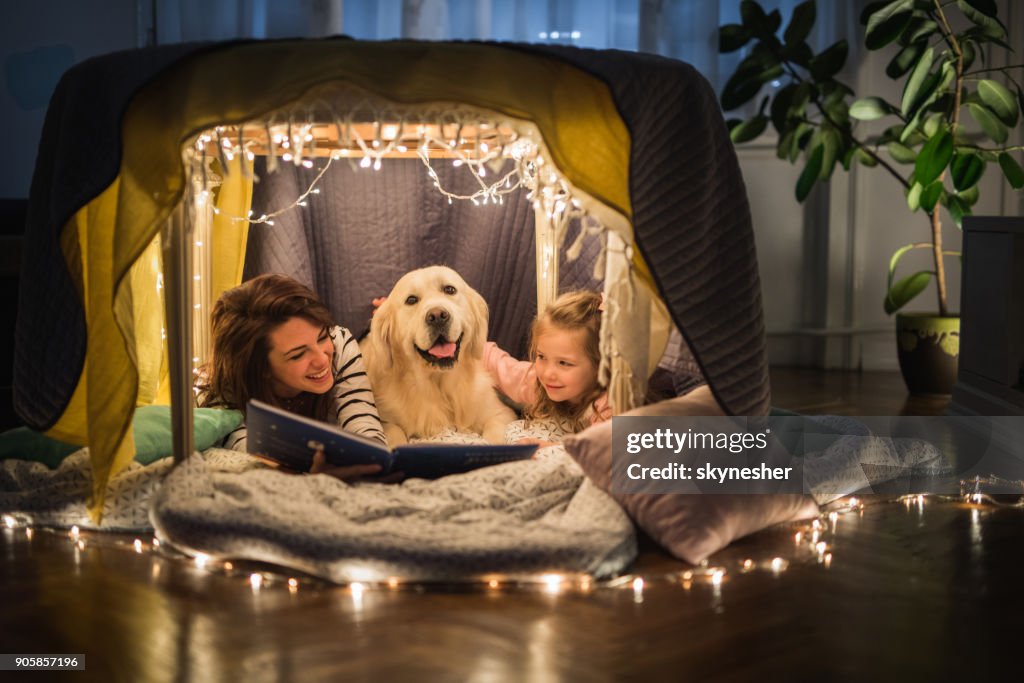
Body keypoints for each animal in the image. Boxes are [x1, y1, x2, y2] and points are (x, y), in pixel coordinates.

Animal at [364, 266, 516, 448]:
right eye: (411, 300)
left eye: (449, 289)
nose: (437, 316)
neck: (439, 386)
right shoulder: (384, 417)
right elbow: (394, 432)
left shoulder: (501, 412)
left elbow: (495, 432)